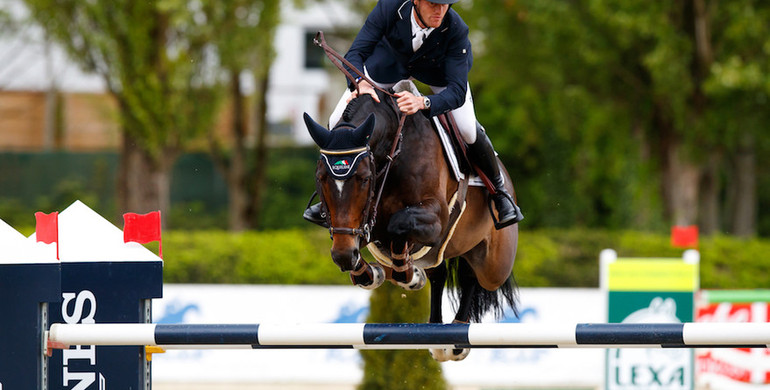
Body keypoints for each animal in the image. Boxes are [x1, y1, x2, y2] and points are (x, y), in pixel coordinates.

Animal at [304, 80, 520, 362]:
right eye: (321, 178)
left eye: (363, 178)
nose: (343, 255)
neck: (394, 152)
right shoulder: (357, 227)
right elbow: (366, 247)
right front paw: (373, 272)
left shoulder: (435, 219)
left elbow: (398, 225)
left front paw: (409, 274)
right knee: (442, 272)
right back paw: (438, 333)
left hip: (495, 265)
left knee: (473, 274)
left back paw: (456, 339)